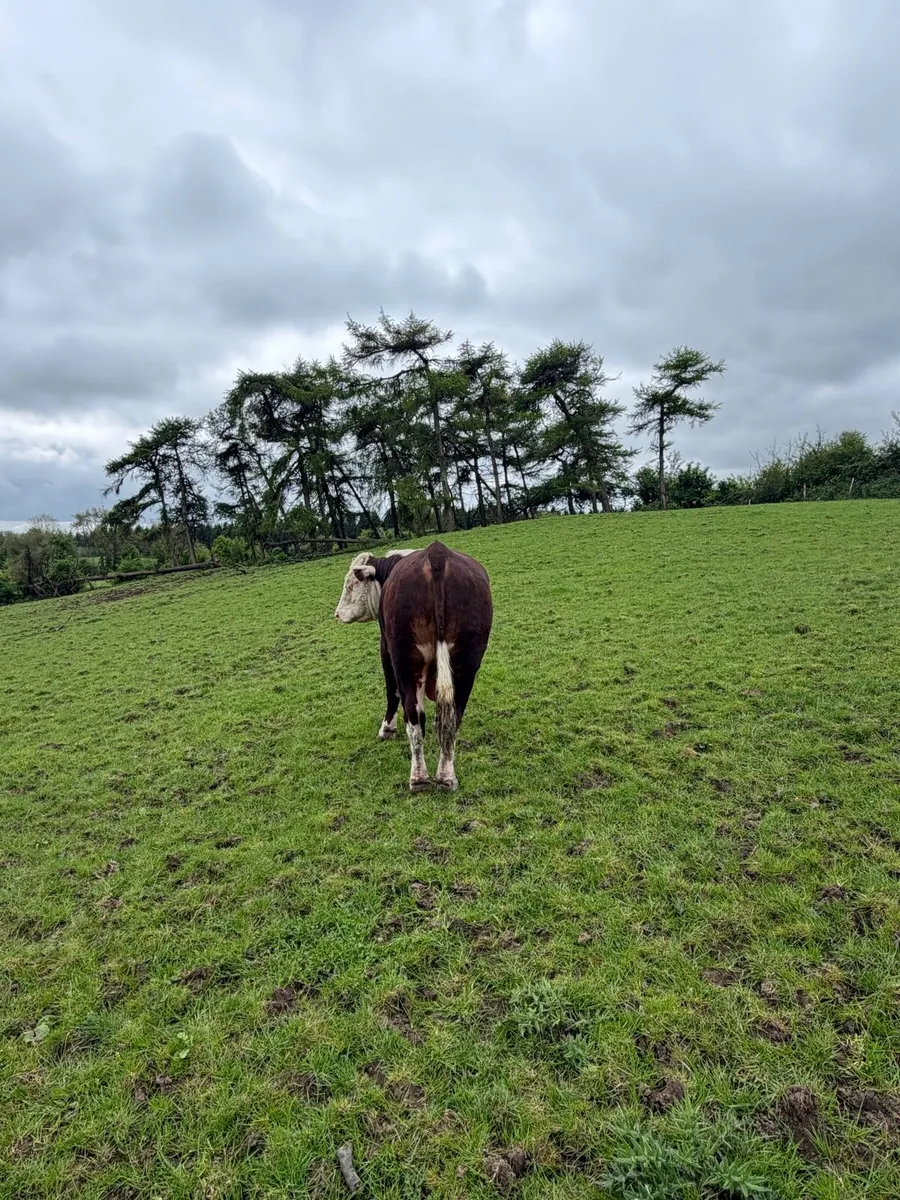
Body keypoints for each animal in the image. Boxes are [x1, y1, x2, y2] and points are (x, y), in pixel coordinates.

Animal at [334, 541, 493, 791]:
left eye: (351, 584)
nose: (337, 614)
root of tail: (437, 554)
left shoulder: (385, 647)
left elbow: (391, 691)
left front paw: (387, 728)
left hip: (406, 663)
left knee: (414, 718)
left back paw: (419, 778)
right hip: (465, 665)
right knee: (452, 717)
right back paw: (446, 775)